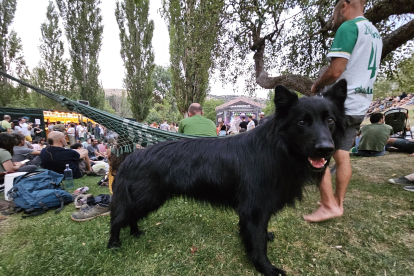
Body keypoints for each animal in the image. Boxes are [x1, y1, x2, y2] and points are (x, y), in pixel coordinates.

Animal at [108, 79, 348, 274]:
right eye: (301, 122)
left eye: (330, 120)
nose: (326, 149)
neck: (275, 149)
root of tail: (131, 156)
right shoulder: (254, 209)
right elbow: (257, 243)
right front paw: (266, 268)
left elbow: (261, 234)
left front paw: (267, 239)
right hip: (146, 198)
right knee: (119, 218)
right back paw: (113, 243)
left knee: (131, 216)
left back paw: (135, 233)